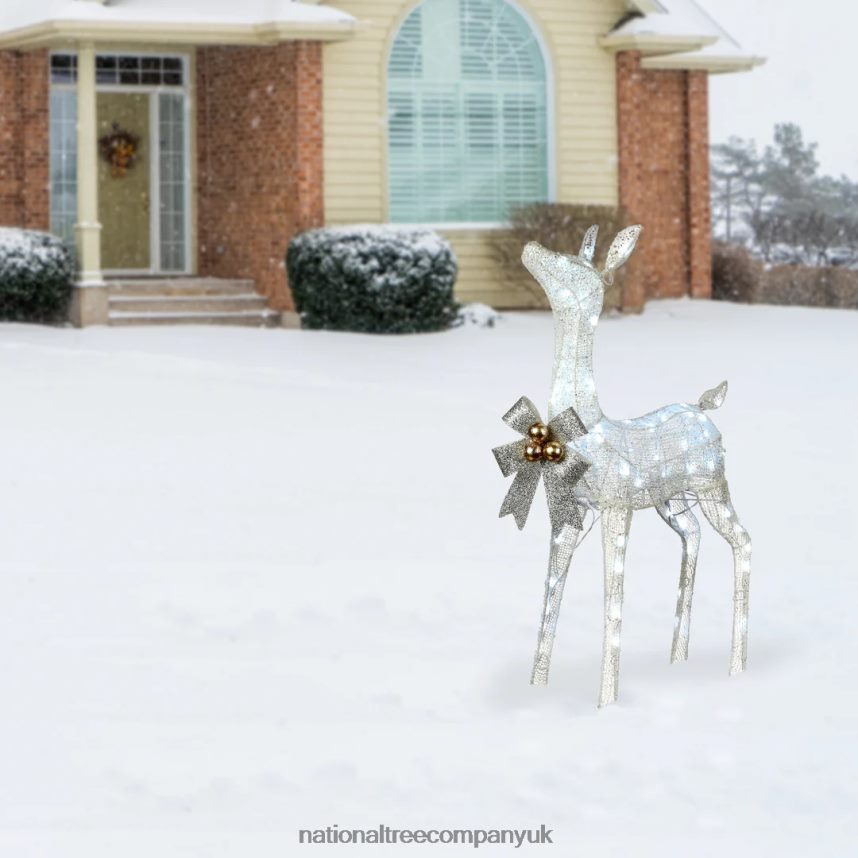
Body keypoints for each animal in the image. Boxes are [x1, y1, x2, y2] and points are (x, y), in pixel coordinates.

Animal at [514, 225, 752, 707]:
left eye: (574, 263)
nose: (531, 247)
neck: (586, 428)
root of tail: (705, 406)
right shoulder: (568, 515)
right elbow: (550, 596)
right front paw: (535, 691)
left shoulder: (616, 508)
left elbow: (613, 598)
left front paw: (606, 702)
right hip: (672, 502)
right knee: (693, 537)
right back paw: (677, 661)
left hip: (714, 487)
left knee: (744, 542)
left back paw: (736, 668)